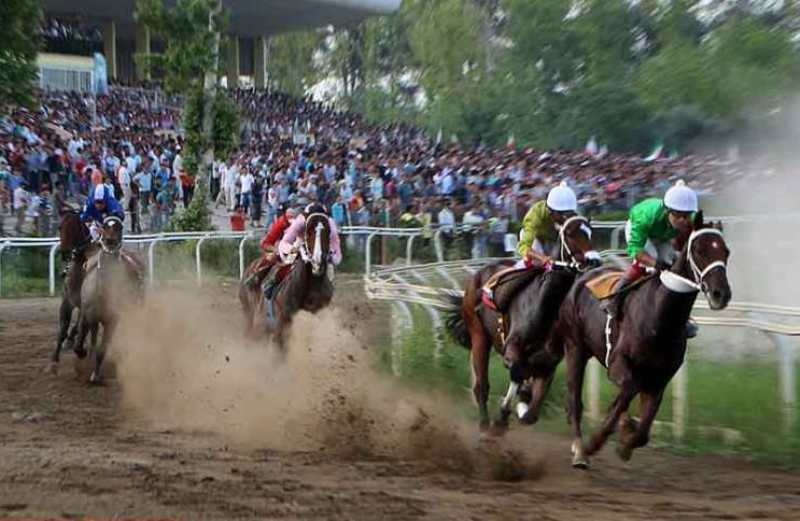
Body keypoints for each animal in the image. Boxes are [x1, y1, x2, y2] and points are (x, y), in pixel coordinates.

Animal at [444, 215, 600, 430]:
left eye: (590, 232)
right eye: (570, 233)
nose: (594, 260)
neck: (544, 305)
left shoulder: (547, 362)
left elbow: (531, 414)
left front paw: (522, 405)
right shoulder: (512, 348)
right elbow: (516, 372)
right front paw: (503, 414)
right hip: (478, 335)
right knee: (481, 386)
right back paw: (485, 424)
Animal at [556, 211, 732, 468]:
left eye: (726, 251)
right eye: (699, 249)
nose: (721, 294)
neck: (660, 319)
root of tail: (584, 274)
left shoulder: (659, 379)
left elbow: (643, 432)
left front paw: (626, 440)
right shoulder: (619, 365)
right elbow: (624, 396)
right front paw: (595, 442)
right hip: (575, 348)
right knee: (575, 401)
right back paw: (579, 450)